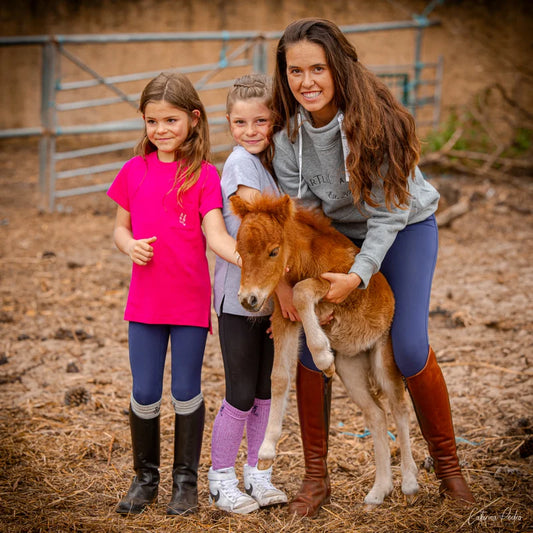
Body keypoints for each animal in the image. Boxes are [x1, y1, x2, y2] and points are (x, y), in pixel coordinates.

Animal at [231, 193, 418, 504]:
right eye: (239, 251)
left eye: (273, 251)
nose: (249, 300)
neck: (306, 259)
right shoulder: (285, 317)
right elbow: (278, 378)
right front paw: (267, 450)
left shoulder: (340, 288)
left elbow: (303, 290)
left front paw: (321, 356)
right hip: (351, 369)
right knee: (377, 415)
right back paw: (379, 490)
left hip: (383, 358)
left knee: (400, 407)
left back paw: (410, 481)